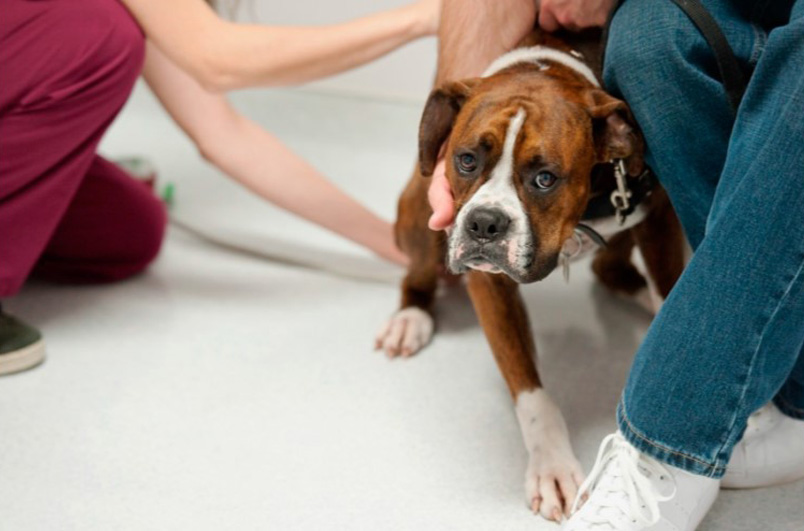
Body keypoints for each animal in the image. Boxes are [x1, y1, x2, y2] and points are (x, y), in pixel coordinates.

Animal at [376, 30, 684, 524]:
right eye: (466, 160)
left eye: (545, 178)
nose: (484, 222)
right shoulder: (489, 280)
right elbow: (530, 389)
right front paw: (552, 467)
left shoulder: (659, 219)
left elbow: (671, 288)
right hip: (420, 205)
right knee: (416, 274)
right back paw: (411, 317)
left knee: (609, 268)